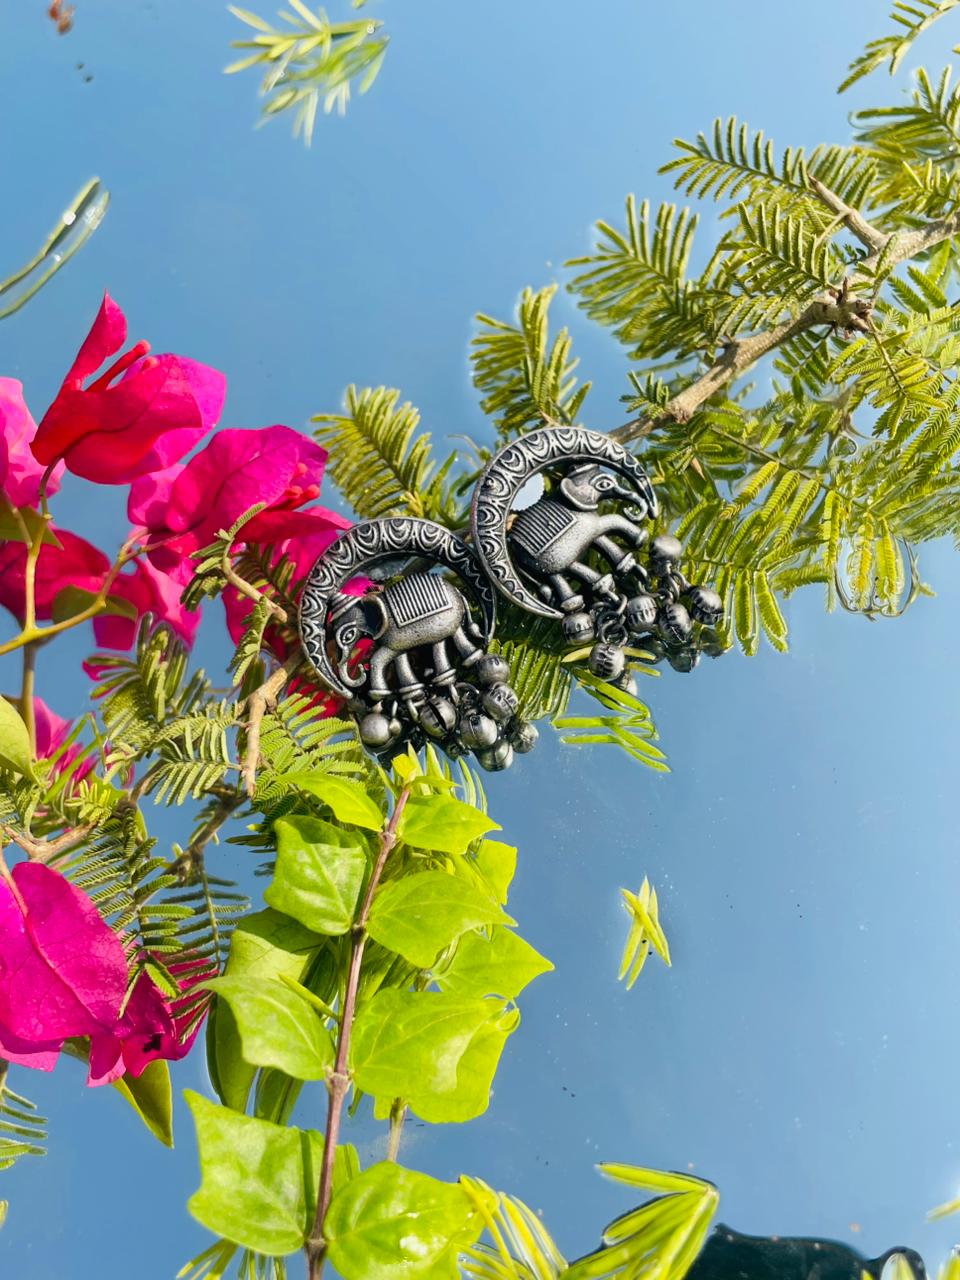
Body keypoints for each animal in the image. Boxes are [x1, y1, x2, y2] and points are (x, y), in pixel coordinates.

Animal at [328, 573, 482, 701]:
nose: (360, 668)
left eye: (349, 635)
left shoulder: (393, 635)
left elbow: (378, 658)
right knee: (439, 643)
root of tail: (456, 590)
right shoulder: (399, 641)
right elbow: (399, 657)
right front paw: (412, 691)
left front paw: (379, 694)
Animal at [508, 463, 649, 610]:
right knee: (559, 573)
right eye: (604, 484)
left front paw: (627, 562)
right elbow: (612, 519)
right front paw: (640, 538)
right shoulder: (586, 522)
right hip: (545, 559)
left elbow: (601, 539)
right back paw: (579, 600)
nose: (629, 510)